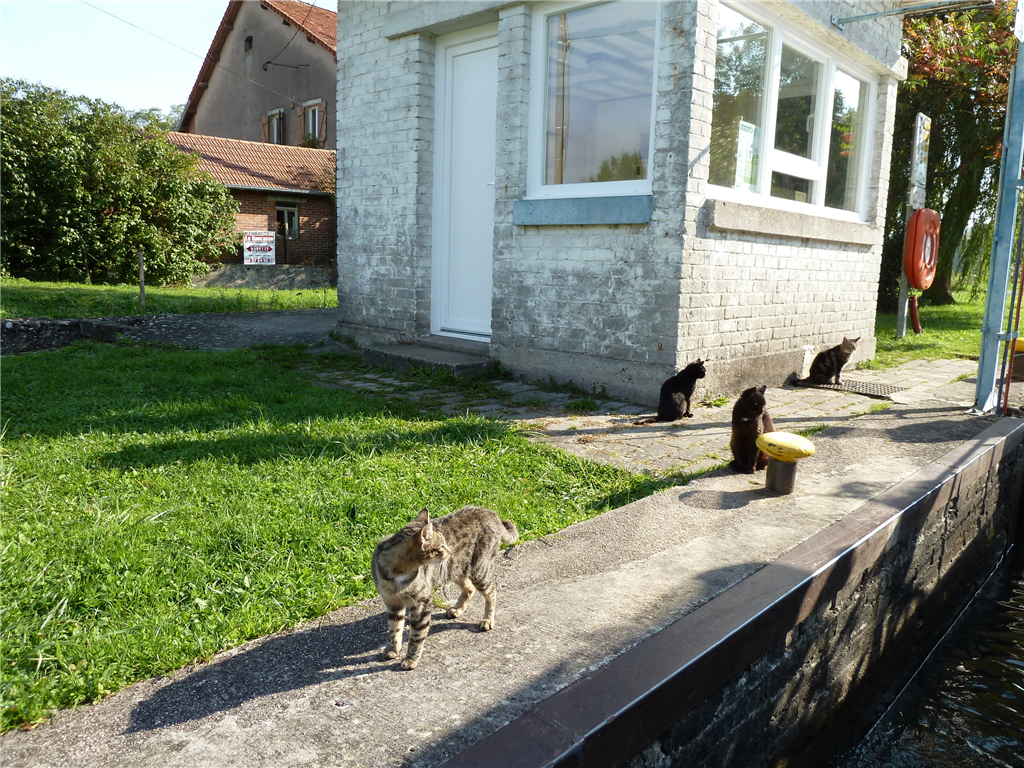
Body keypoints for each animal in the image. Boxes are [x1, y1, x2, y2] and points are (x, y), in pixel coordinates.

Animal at [370, 506, 518, 670]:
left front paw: (411, 659)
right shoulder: (392, 602)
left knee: (492, 590)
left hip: (479, 570)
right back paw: (457, 609)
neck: (396, 573)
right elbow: (395, 629)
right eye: (441, 546)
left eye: (445, 542)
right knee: (469, 589)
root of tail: (491, 513)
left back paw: (488, 619)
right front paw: (394, 649)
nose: (450, 551)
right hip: (456, 570)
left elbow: (416, 636)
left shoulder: (422, 602)